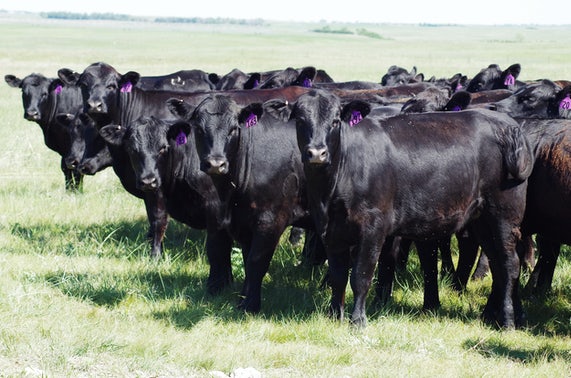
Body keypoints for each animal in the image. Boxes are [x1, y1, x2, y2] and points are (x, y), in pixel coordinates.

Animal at [170, 93, 324, 312]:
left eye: (234, 129)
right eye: (199, 128)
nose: (216, 164)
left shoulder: (271, 220)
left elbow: (256, 261)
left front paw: (249, 305)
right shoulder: (243, 222)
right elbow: (245, 259)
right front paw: (243, 297)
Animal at [290, 88, 536, 328]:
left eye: (335, 121)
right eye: (300, 120)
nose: (317, 153)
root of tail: (509, 126)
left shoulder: (373, 229)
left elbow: (360, 276)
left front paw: (358, 321)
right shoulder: (331, 230)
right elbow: (338, 276)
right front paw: (334, 316)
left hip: (504, 216)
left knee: (509, 263)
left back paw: (507, 320)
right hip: (482, 221)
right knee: (497, 263)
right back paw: (492, 315)